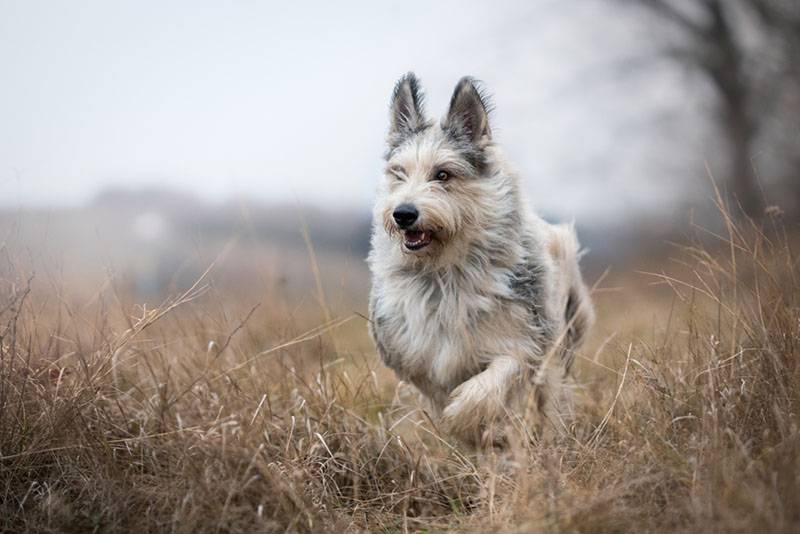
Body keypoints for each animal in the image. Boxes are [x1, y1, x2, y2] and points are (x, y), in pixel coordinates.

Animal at [368, 73, 592, 446]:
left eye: (443, 174)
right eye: (399, 173)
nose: (403, 214)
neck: (446, 273)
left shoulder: (525, 339)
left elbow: (495, 379)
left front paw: (465, 418)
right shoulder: (417, 356)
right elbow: (436, 393)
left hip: (562, 336)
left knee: (552, 395)